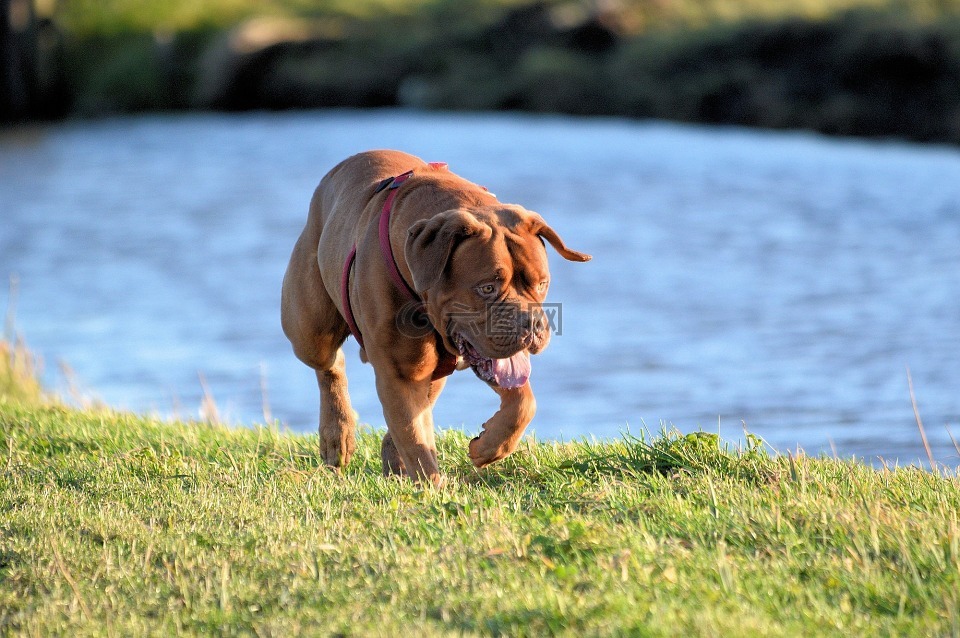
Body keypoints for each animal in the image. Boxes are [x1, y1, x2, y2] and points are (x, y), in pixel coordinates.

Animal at [282, 152, 588, 488]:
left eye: (542, 284)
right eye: (487, 288)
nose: (532, 323)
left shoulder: (484, 356)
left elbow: (523, 402)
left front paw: (489, 446)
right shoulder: (400, 372)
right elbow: (415, 438)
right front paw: (432, 488)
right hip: (310, 329)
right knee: (329, 365)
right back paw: (338, 437)